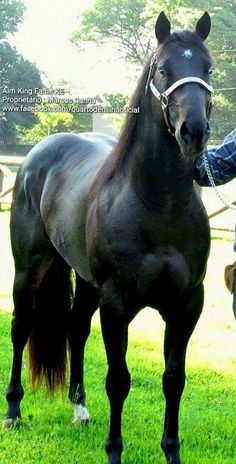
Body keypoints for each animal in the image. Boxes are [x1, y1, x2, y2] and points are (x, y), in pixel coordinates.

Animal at [3, 10, 214, 464]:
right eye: (162, 69)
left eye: (208, 69)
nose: (194, 132)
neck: (157, 204)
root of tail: (39, 153)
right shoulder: (117, 304)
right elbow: (119, 380)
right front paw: (114, 451)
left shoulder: (187, 305)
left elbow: (174, 379)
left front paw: (172, 452)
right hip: (29, 269)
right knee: (21, 327)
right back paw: (13, 410)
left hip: (84, 282)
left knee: (75, 330)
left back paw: (79, 409)